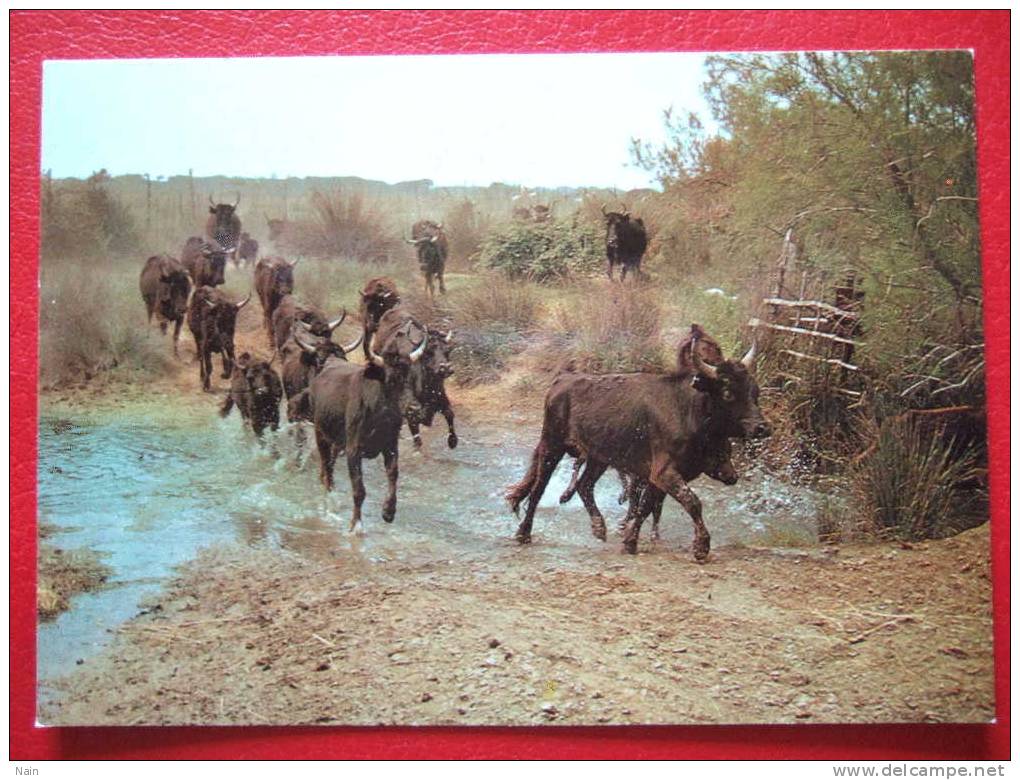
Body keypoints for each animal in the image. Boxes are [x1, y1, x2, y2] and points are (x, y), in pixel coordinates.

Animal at [303, 303, 428, 530]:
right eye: (392, 378)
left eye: (411, 376)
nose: (414, 409)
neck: (379, 414)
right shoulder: (354, 451)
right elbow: (359, 490)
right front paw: (356, 525)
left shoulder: (390, 447)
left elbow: (394, 475)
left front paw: (388, 512)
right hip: (321, 435)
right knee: (327, 469)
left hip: (336, 442)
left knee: (330, 466)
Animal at [505, 326, 767, 558]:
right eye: (727, 393)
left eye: (755, 391)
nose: (762, 427)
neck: (687, 411)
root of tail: (563, 379)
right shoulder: (663, 472)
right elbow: (692, 502)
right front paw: (702, 547)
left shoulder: (655, 476)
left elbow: (646, 506)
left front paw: (630, 541)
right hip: (552, 446)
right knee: (538, 489)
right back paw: (524, 534)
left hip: (599, 457)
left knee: (584, 486)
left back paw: (599, 527)